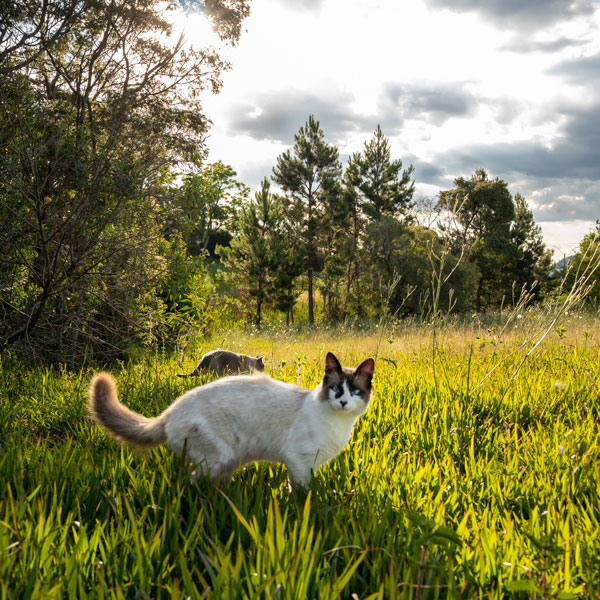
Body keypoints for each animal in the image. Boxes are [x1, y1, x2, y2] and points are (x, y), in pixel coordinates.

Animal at [85, 352, 376, 488]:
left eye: (355, 392)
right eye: (336, 389)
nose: (343, 402)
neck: (338, 425)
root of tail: (170, 411)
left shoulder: (311, 466)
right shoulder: (297, 461)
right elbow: (301, 494)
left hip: (230, 462)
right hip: (217, 459)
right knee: (192, 482)